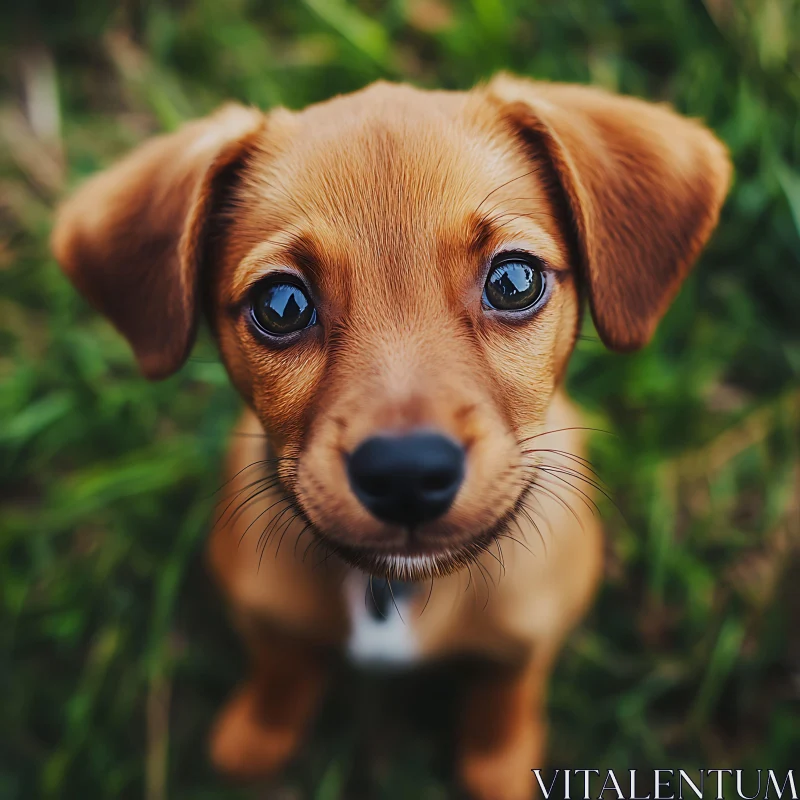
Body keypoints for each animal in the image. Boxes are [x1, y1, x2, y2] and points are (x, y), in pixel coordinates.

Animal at [51, 76, 732, 800]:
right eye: (281, 305)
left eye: (513, 281)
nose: (407, 475)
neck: (395, 592)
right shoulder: (267, 617)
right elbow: (280, 671)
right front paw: (257, 737)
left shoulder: (528, 634)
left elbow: (504, 697)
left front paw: (500, 767)